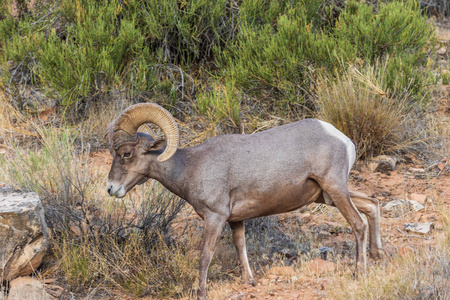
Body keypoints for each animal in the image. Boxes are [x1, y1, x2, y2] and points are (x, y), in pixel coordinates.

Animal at [106, 103, 384, 300]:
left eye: (126, 154)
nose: (111, 188)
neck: (191, 167)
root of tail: (343, 139)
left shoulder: (215, 218)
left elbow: (205, 256)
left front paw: (201, 293)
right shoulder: (235, 220)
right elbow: (241, 246)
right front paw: (248, 281)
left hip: (334, 189)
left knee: (358, 224)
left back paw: (359, 273)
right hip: (327, 195)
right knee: (372, 204)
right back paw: (378, 255)